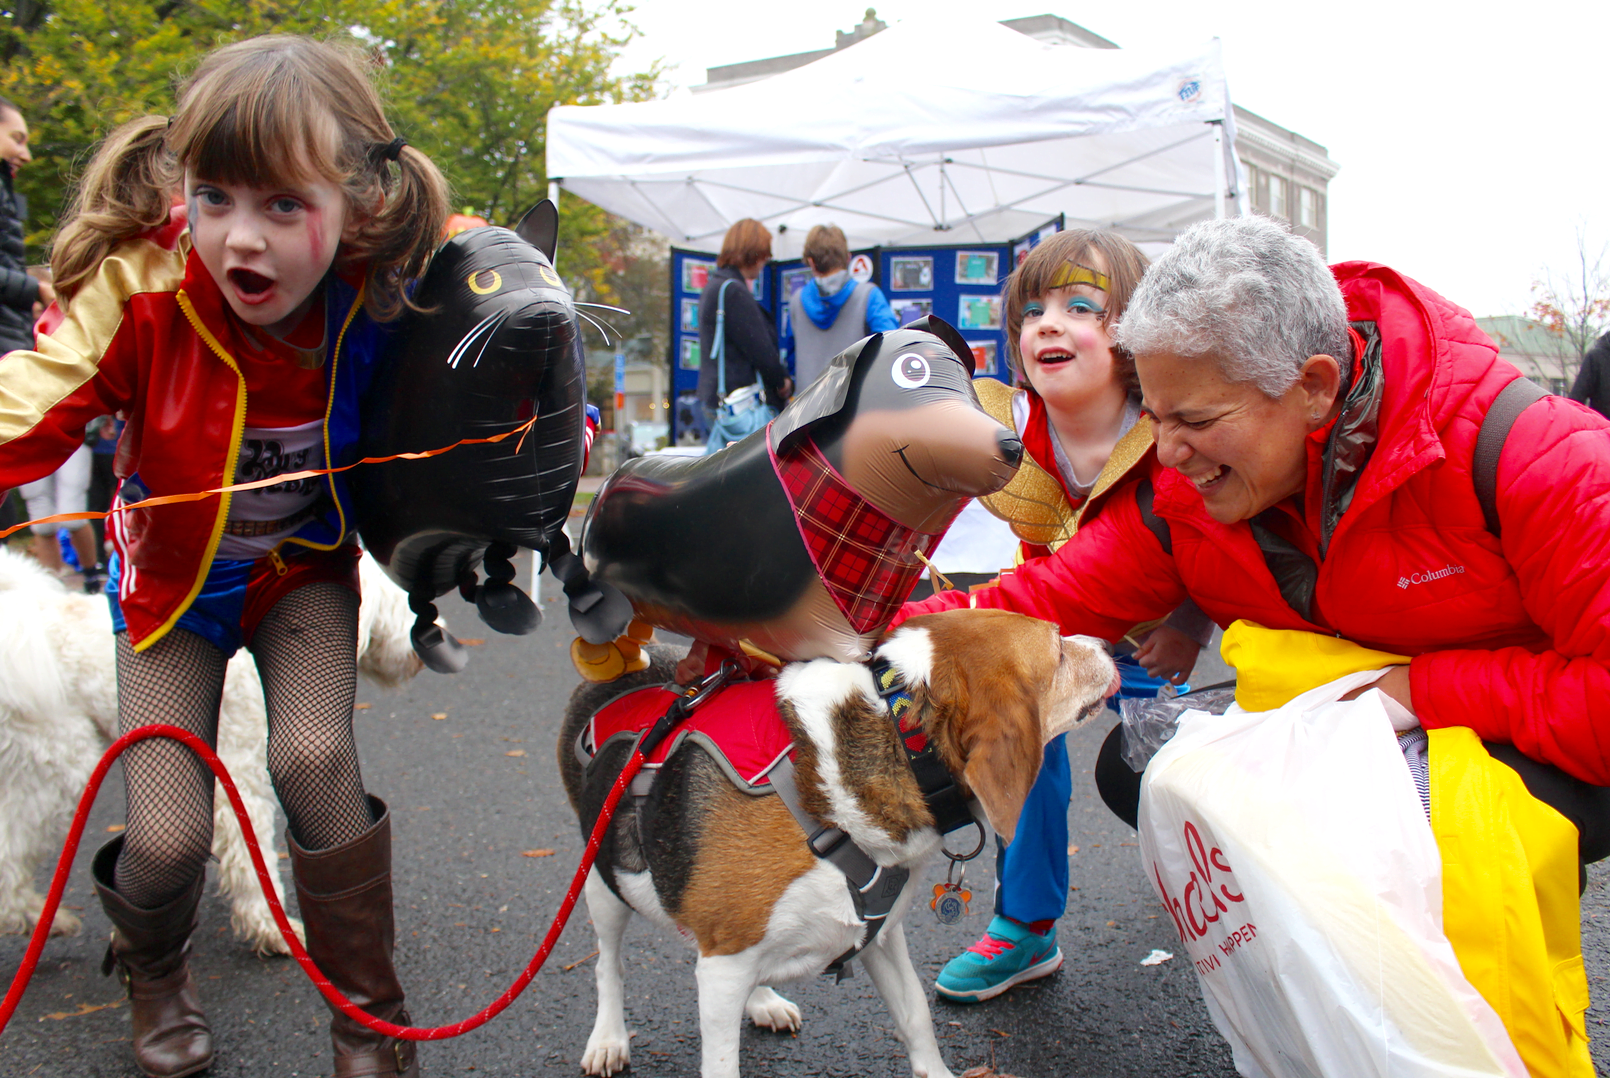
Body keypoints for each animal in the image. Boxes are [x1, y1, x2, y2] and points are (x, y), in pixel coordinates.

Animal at [0, 553, 428, 958]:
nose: (429, 641)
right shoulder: (240, 779)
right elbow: (255, 864)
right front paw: (273, 930)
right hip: (58, 766)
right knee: (10, 851)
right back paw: (34, 915)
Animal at [560, 611, 1114, 1078]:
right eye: (1058, 649)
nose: (1109, 644)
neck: (901, 734)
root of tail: (641, 661)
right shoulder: (722, 961)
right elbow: (720, 1062)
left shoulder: (880, 935)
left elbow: (916, 1016)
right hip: (603, 883)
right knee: (608, 965)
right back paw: (608, 1039)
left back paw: (762, 1001)